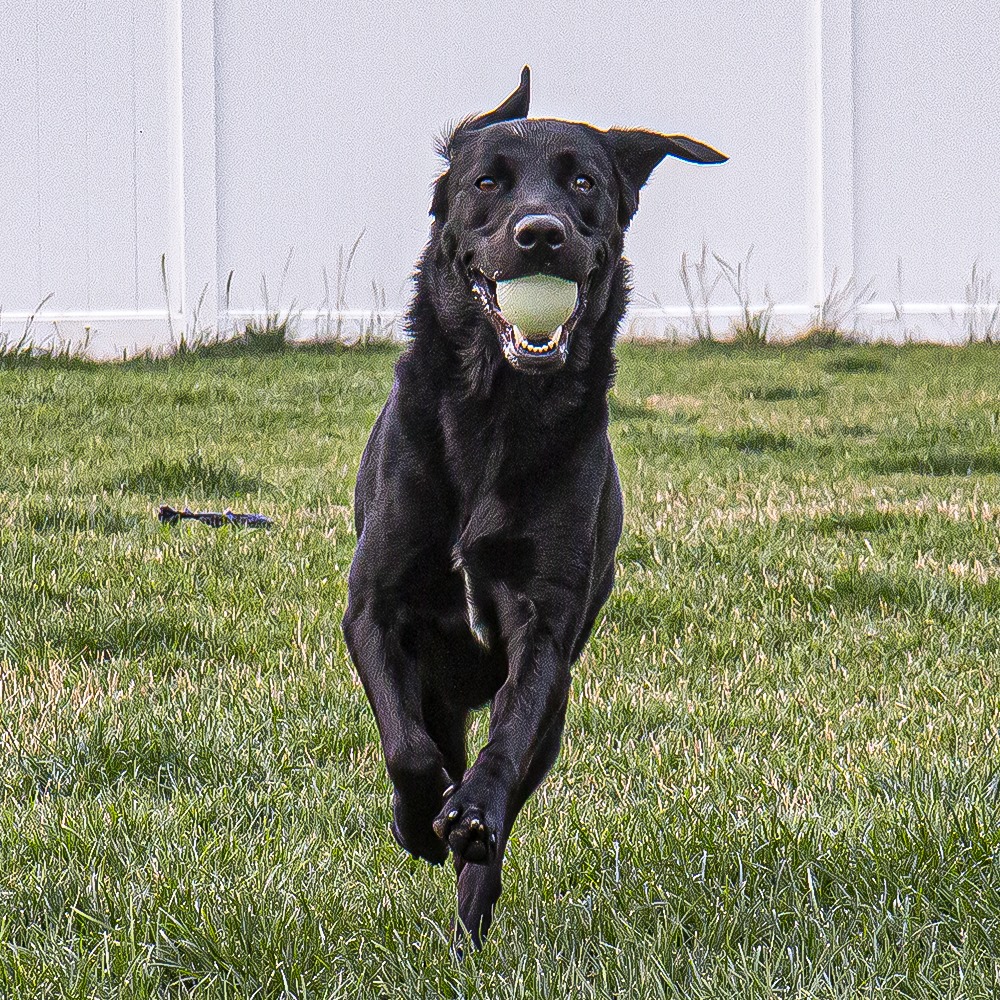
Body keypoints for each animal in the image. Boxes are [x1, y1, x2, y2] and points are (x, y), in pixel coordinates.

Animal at [343, 67, 726, 949]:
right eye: (488, 183)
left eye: (583, 183)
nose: (542, 235)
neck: (497, 407)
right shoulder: (373, 607)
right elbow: (407, 748)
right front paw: (416, 818)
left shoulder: (544, 629)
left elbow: (506, 744)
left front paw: (470, 815)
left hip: (557, 707)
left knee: (513, 774)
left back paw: (470, 904)